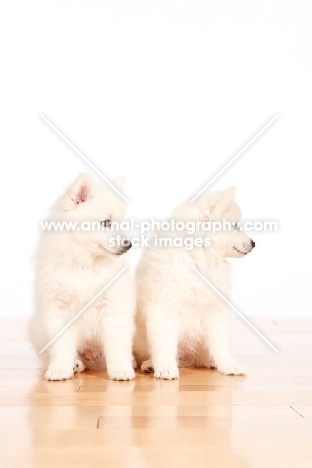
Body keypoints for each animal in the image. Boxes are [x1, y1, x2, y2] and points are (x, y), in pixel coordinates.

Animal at [29, 172, 135, 380]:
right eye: (106, 222)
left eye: (121, 222)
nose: (129, 245)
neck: (85, 264)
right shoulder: (58, 308)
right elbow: (61, 346)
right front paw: (60, 369)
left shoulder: (113, 306)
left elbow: (117, 343)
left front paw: (121, 369)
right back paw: (76, 364)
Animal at [133, 187, 254, 380]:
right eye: (235, 226)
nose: (254, 243)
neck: (200, 258)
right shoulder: (164, 308)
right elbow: (164, 344)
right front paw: (166, 368)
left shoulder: (216, 309)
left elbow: (221, 343)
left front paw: (229, 365)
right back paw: (151, 364)